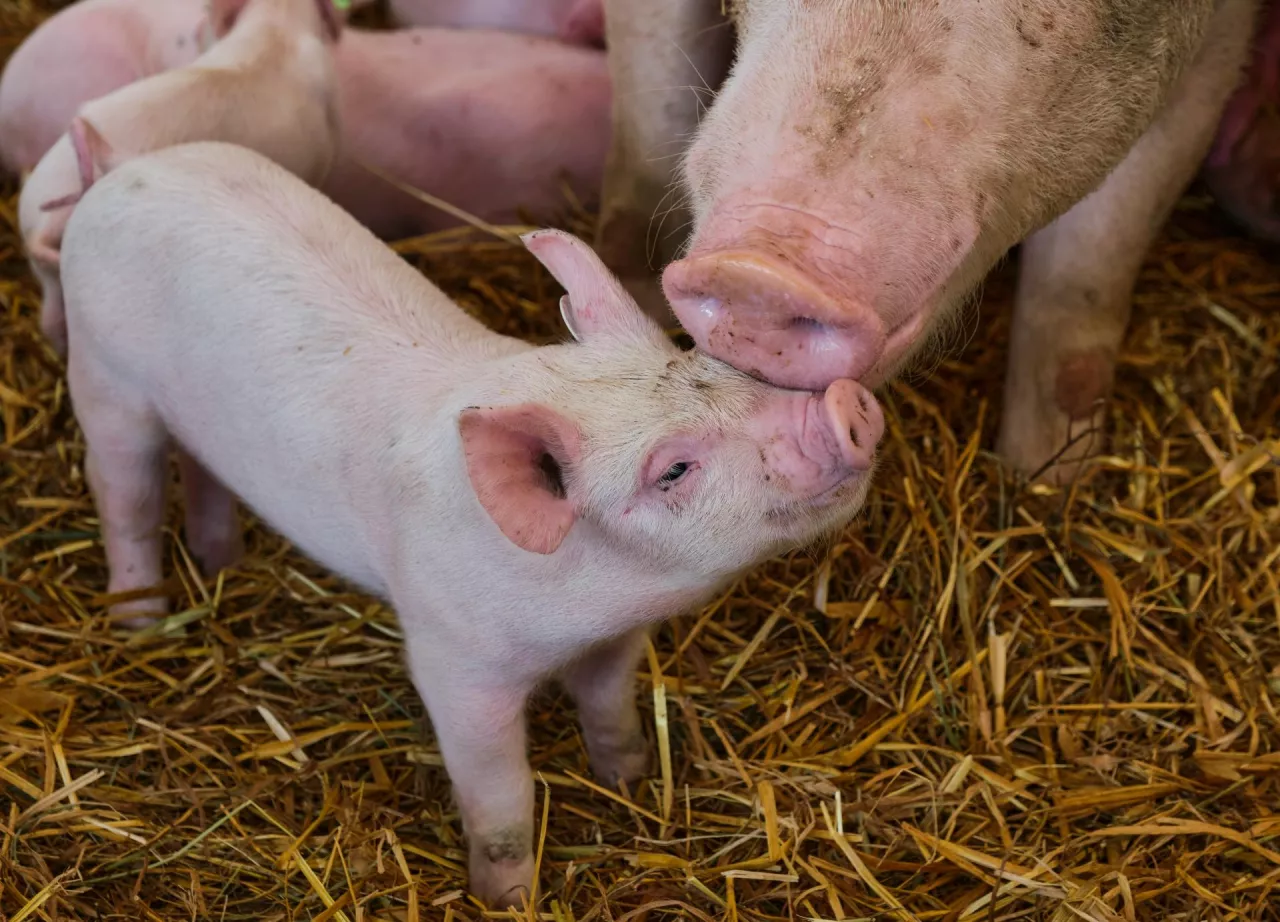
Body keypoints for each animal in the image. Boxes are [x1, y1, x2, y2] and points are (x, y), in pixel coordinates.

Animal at [60, 144, 880, 906]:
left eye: (712, 366)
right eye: (673, 470)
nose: (847, 405)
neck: (584, 605)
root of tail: (128, 169)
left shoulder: (615, 642)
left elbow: (610, 706)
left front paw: (630, 779)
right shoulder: (453, 661)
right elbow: (502, 793)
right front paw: (508, 898)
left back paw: (221, 561)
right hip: (103, 377)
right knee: (125, 497)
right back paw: (142, 622)